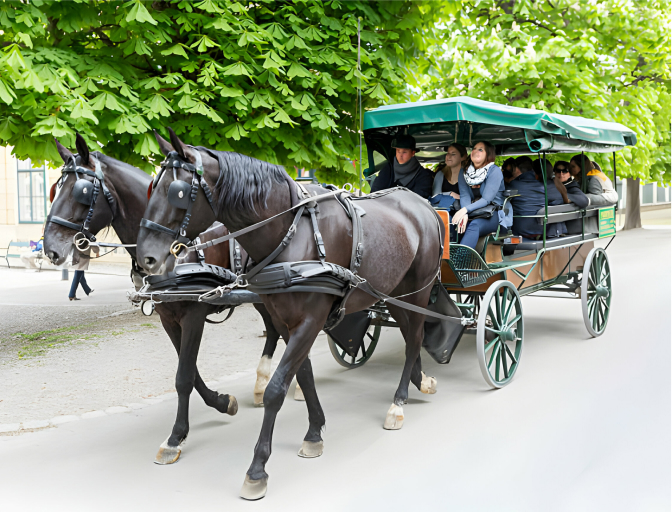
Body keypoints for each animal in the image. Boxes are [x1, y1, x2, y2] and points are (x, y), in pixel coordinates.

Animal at [44, 135, 286, 464]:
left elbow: (184, 375)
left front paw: (175, 437)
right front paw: (221, 402)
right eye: (56, 188)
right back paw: (263, 385)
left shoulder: (194, 315)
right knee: (274, 330)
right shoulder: (168, 319)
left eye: (80, 190)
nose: (50, 249)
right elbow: (190, 372)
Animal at [136, 129, 444, 500]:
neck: (292, 233)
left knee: (414, 338)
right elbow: (304, 374)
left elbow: (276, 389)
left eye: (178, 192)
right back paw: (418, 380)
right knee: (410, 333)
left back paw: (399, 401)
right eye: (151, 187)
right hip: (393, 292)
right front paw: (315, 431)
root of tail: (422, 204)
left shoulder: (307, 321)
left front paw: (257, 468)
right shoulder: (284, 320)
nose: (146, 259)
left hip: (419, 289)